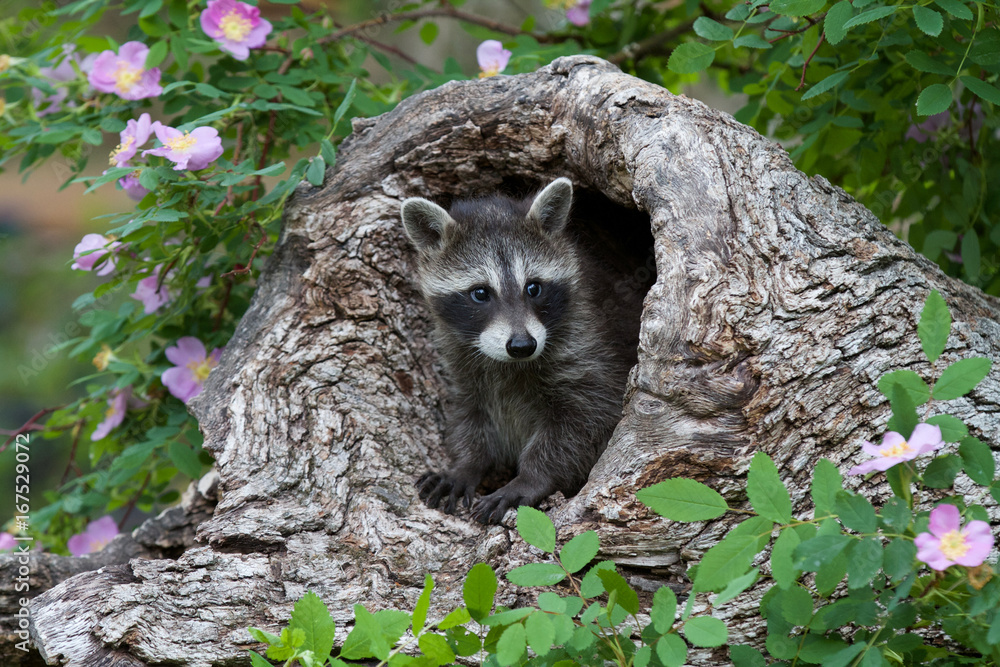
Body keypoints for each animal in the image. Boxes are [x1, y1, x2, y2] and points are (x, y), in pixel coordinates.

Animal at [400, 178, 638, 524]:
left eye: (533, 288)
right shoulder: (462, 365)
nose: (523, 346)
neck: (506, 363)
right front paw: (466, 463)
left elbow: (586, 420)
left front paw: (531, 477)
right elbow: (470, 415)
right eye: (480, 293)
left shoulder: (589, 346)